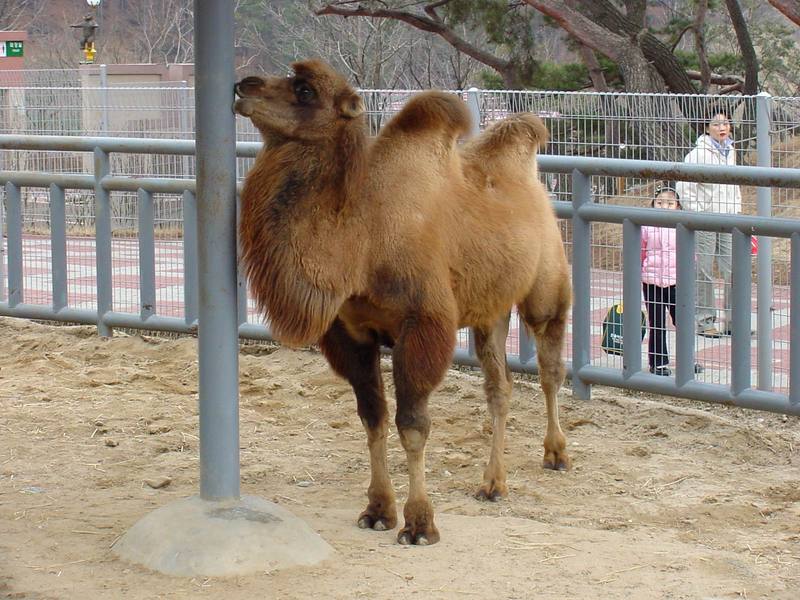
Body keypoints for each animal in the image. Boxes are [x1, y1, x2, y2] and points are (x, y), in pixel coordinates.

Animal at [234, 61, 572, 548]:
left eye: (305, 89)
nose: (244, 86)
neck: (362, 238)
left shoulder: (423, 325)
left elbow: (413, 425)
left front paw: (419, 524)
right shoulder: (351, 333)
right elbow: (372, 418)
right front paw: (378, 510)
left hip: (546, 286)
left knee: (549, 370)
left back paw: (556, 453)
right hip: (488, 309)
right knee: (500, 387)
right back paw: (493, 483)